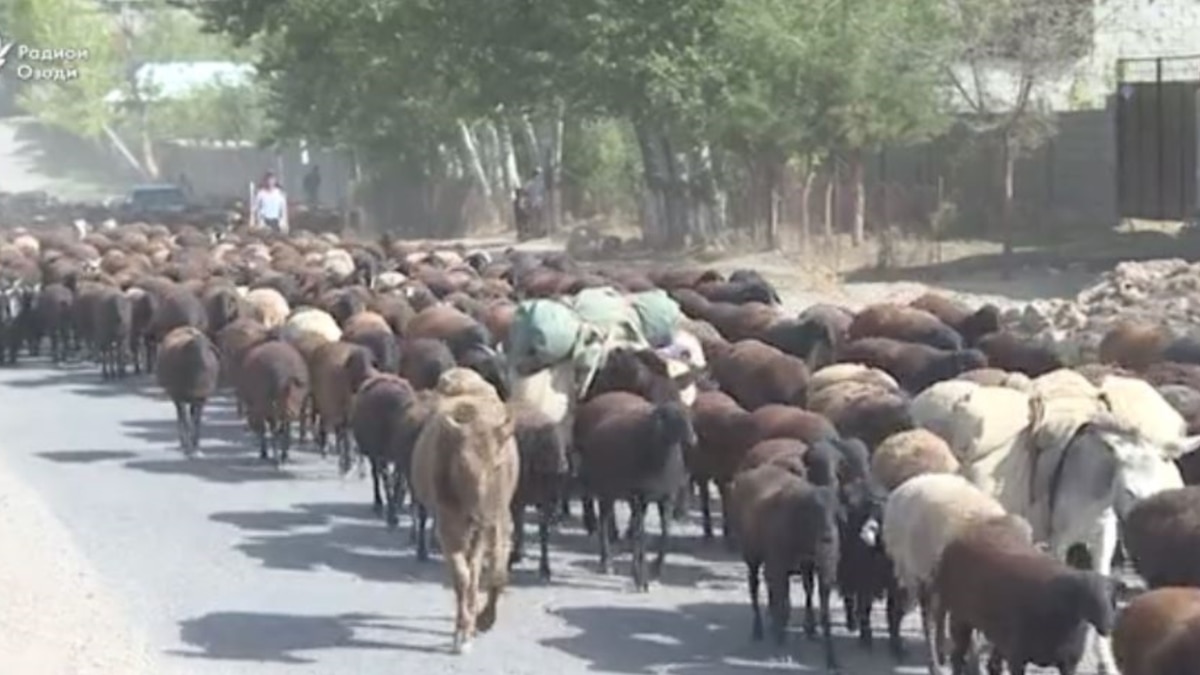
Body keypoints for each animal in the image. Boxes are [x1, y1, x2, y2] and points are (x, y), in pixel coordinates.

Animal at [154, 324, 220, 454]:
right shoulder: (180, 397)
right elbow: (186, 420)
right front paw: (189, 443)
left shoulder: (202, 399)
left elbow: (196, 420)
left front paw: (195, 443)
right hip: (177, 396)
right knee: (181, 416)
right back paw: (184, 440)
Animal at [408, 367, 516, 653]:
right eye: (461, 467)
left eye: (497, 465)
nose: (482, 517)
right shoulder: (448, 525)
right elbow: (462, 576)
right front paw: (463, 631)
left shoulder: (494, 519)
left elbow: (490, 573)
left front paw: (481, 619)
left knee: (479, 567)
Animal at [571, 391, 696, 586]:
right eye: (671, 417)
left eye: (689, 416)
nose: (693, 440)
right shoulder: (639, 497)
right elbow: (641, 535)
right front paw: (640, 577)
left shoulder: (666, 497)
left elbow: (665, 532)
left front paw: (655, 568)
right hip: (605, 489)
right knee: (604, 523)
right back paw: (606, 562)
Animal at [724, 441, 840, 667]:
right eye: (812, 511)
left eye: (836, 512)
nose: (828, 537)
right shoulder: (779, 563)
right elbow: (784, 601)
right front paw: (781, 641)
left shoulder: (811, 565)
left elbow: (812, 596)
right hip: (751, 553)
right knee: (754, 585)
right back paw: (759, 629)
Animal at [936, 511, 1113, 667]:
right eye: (1089, 599)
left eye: (1113, 599)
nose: (1108, 626)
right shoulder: (1017, 657)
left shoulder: (1068, 664)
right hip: (961, 619)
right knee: (958, 657)